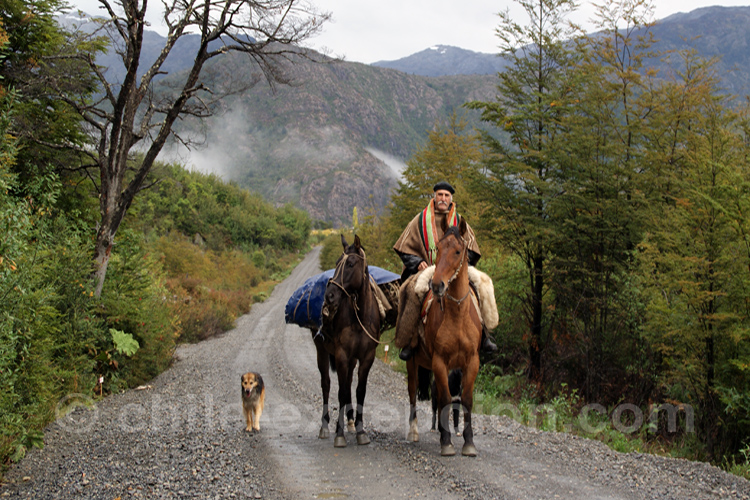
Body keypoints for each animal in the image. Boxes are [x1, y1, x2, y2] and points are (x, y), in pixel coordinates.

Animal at [312, 234, 382, 450]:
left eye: (350, 264)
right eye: (336, 263)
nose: (329, 296)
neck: (359, 316)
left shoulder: (366, 357)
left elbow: (359, 391)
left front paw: (360, 430)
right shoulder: (342, 355)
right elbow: (341, 392)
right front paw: (339, 434)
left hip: (351, 360)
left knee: (349, 383)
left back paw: (350, 421)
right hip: (322, 351)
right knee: (326, 384)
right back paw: (325, 426)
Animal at [408, 220, 484, 458]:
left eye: (458, 251)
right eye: (438, 250)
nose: (437, 285)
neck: (457, 316)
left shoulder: (471, 362)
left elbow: (465, 401)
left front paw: (468, 443)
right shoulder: (439, 361)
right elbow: (445, 400)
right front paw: (447, 442)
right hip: (413, 362)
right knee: (414, 394)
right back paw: (414, 432)